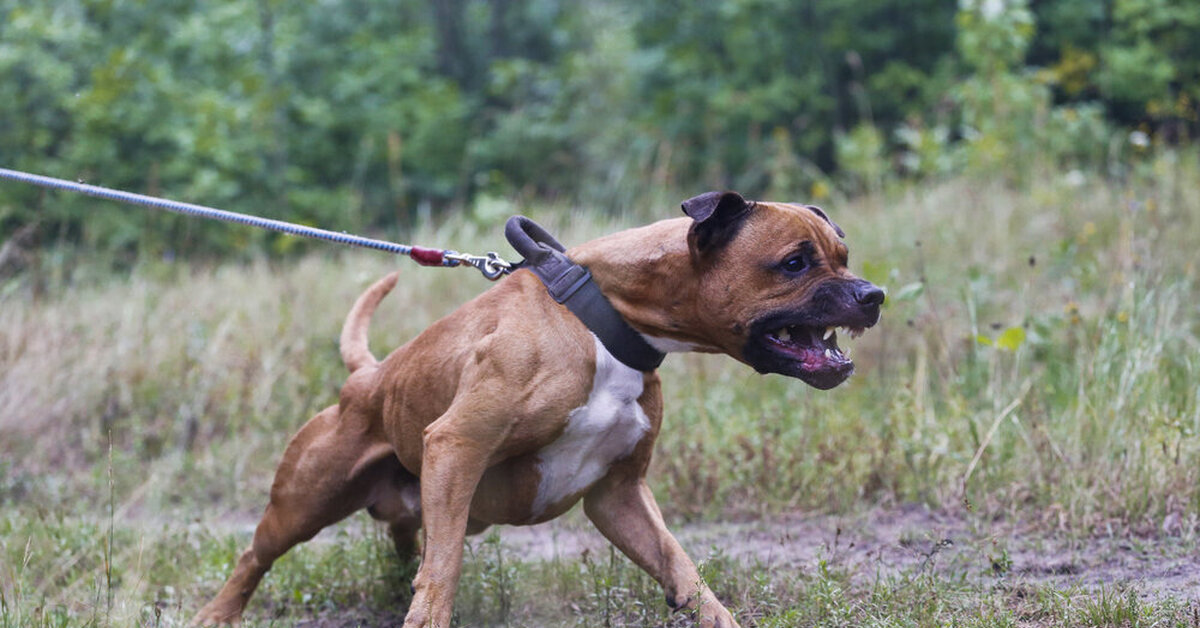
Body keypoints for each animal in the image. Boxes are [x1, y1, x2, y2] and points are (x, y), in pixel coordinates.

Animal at [194, 193, 883, 628]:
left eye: (844, 257)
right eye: (793, 262)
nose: (873, 295)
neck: (603, 319)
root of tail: (368, 376)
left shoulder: (620, 495)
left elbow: (685, 573)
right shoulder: (458, 445)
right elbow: (443, 571)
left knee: (403, 538)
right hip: (302, 504)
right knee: (256, 557)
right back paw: (218, 614)